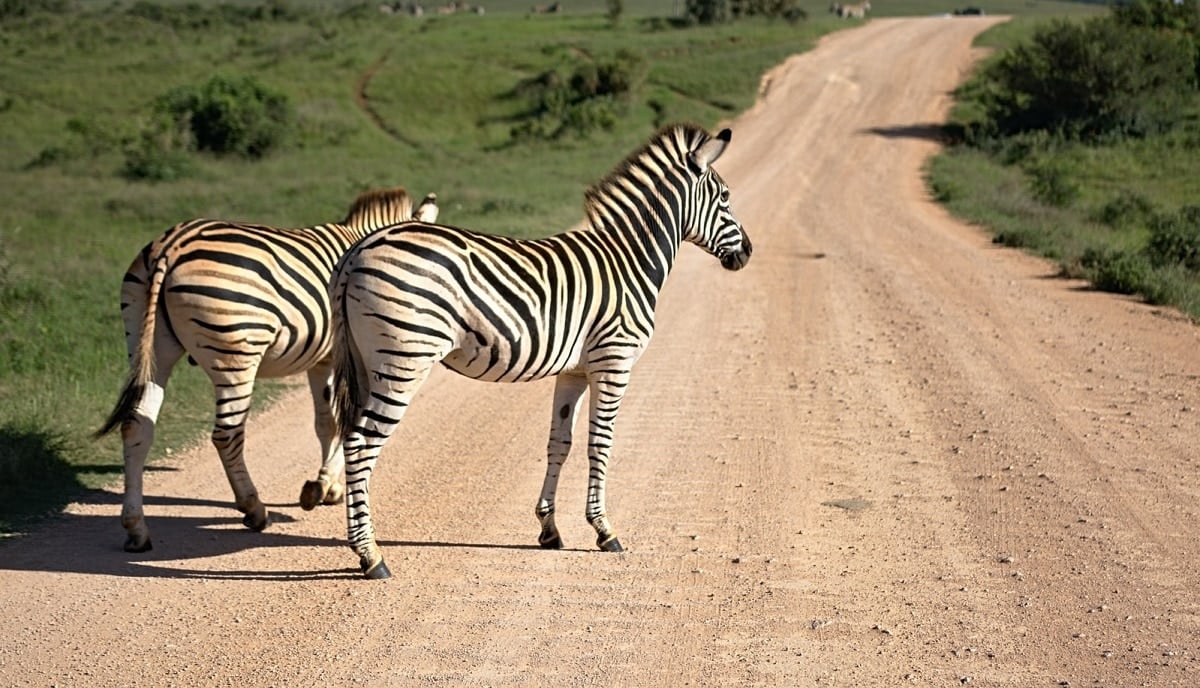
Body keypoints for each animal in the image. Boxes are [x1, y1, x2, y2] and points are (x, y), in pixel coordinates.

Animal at [94, 186, 441, 552]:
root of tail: (171, 246)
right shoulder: (343, 357)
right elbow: (343, 421)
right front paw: (324, 485)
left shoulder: (323, 360)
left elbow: (326, 422)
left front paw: (326, 487)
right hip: (235, 352)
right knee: (227, 434)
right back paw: (254, 509)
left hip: (148, 345)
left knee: (136, 426)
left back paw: (136, 529)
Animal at [326, 121, 748, 573]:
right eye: (725, 197)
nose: (747, 253)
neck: (629, 260)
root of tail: (357, 251)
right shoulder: (614, 361)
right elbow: (600, 443)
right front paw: (604, 530)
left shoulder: (575, 371)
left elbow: (559, 443)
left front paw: (549, 529)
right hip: (404, 360)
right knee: (361, 444)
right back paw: (370, 555)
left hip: (368, 362)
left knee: (351, 437)